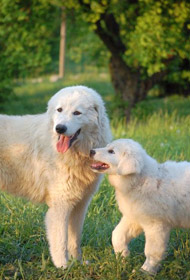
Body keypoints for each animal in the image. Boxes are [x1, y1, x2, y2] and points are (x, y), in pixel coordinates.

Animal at [0, 86, 111, 270]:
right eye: (59, 110)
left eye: (77, 113)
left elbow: (74, 239)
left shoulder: (80, 204)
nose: (60, 128)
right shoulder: (60, 206)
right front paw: (63, 267)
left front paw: (78, 263)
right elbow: (61, 240)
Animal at [90, 139, 190, 274]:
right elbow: (117, 235)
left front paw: (145, 271)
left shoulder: (156, 225)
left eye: (111, 151)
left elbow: (152, 251)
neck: (140, 180)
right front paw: (122, 257)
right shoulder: (133, 217)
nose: (91, 151)